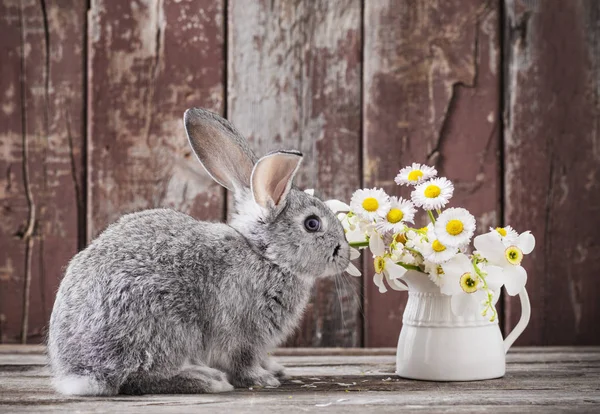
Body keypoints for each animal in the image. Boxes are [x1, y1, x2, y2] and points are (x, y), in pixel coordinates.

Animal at [47, 106, 352, 394]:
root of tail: (82, 373)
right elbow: (242, 362)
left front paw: (275, 369)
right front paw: (263, 379)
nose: (345, 256)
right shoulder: (241, 333)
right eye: (312, 223)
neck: (265, 256)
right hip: (165, 329)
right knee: (139, 377)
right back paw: (206, 379)